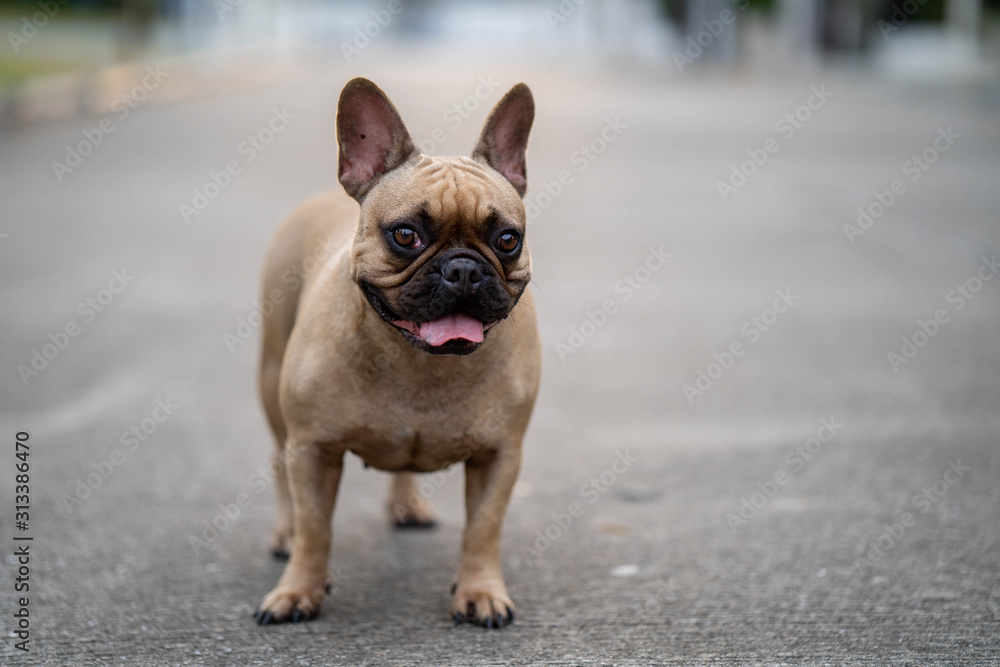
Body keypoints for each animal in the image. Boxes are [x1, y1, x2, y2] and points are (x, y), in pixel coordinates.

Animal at [254, 79, 544, 632]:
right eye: (406, 235)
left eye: (507, 239)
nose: (463, 269)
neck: (419, 366)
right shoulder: (313, 450)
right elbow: (315, 528)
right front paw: (298, 590)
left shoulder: (500, 456)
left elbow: (483, 529)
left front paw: (480, 592)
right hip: (272, 381)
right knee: (278, 467)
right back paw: (282, 533)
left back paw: (407, 503)